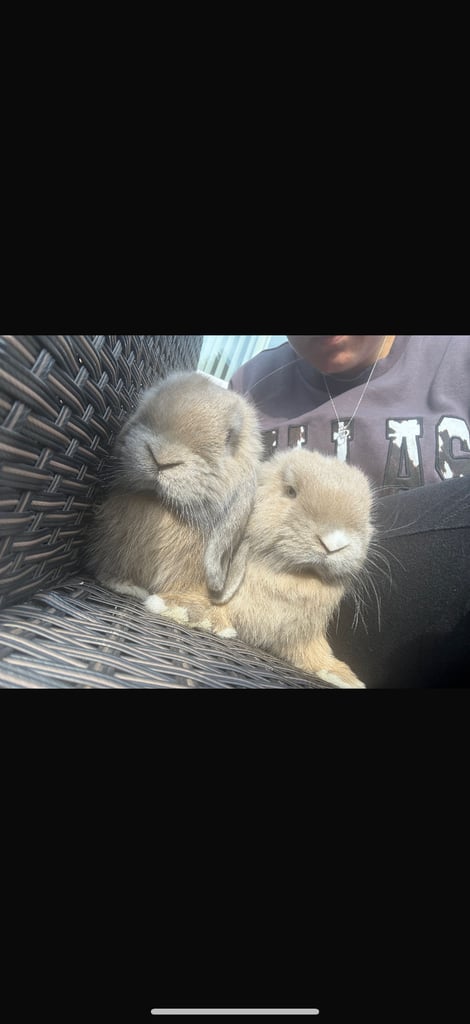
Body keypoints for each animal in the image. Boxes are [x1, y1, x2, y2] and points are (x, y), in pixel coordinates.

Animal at [146, 448, 374, 688]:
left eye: (368, 512)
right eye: (290, 491)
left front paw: (344, 677)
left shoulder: (303, 636)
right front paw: (187, 612)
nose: (335, 543)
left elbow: (314, 655)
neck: (295, 577)